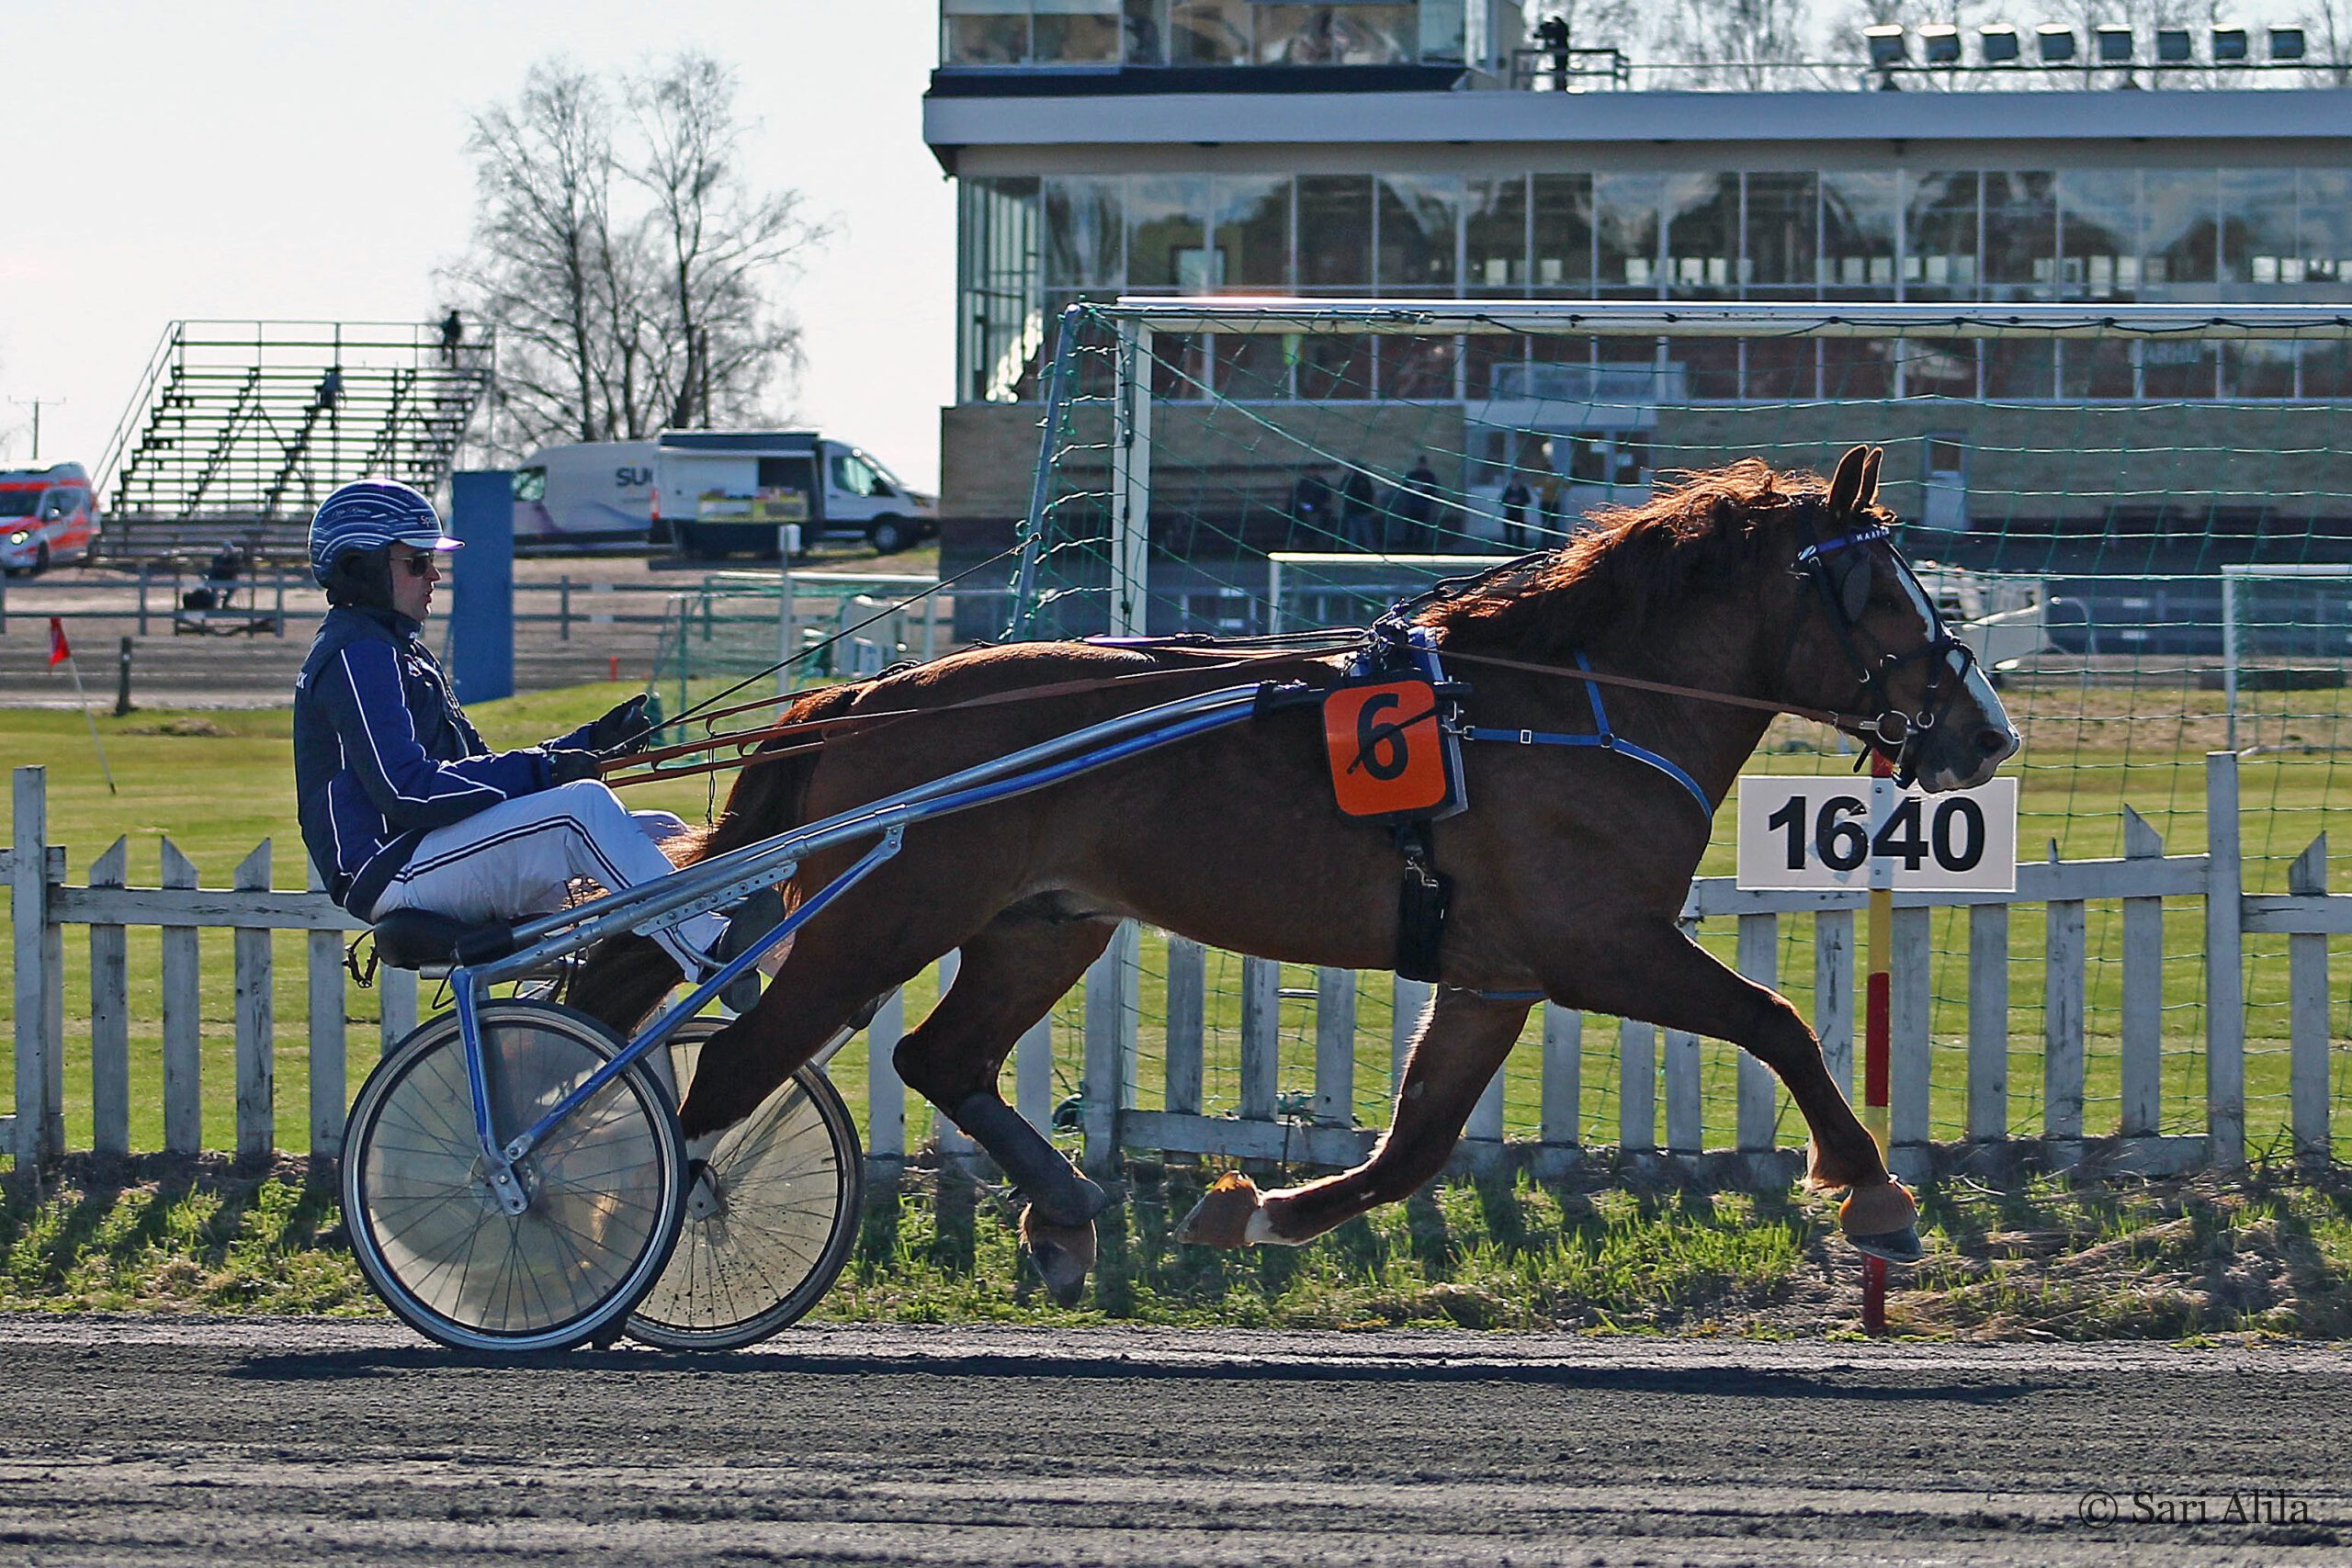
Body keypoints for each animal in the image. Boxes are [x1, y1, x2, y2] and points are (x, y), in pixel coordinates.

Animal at [573, 445, 2018, 1304]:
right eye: (1889, 593)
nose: (1987, 732)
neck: (1571, 704)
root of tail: (864, 694)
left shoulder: (1493, 977)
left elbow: (1410, 1149)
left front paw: (1254, 1214)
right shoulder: (1598, 942)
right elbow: (1775, 1022)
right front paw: (1876, 1192)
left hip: (1041, 924)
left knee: (942, 1057)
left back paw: (1066, 1211)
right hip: (877, 919)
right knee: (734, 1066)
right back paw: (615, 1240)